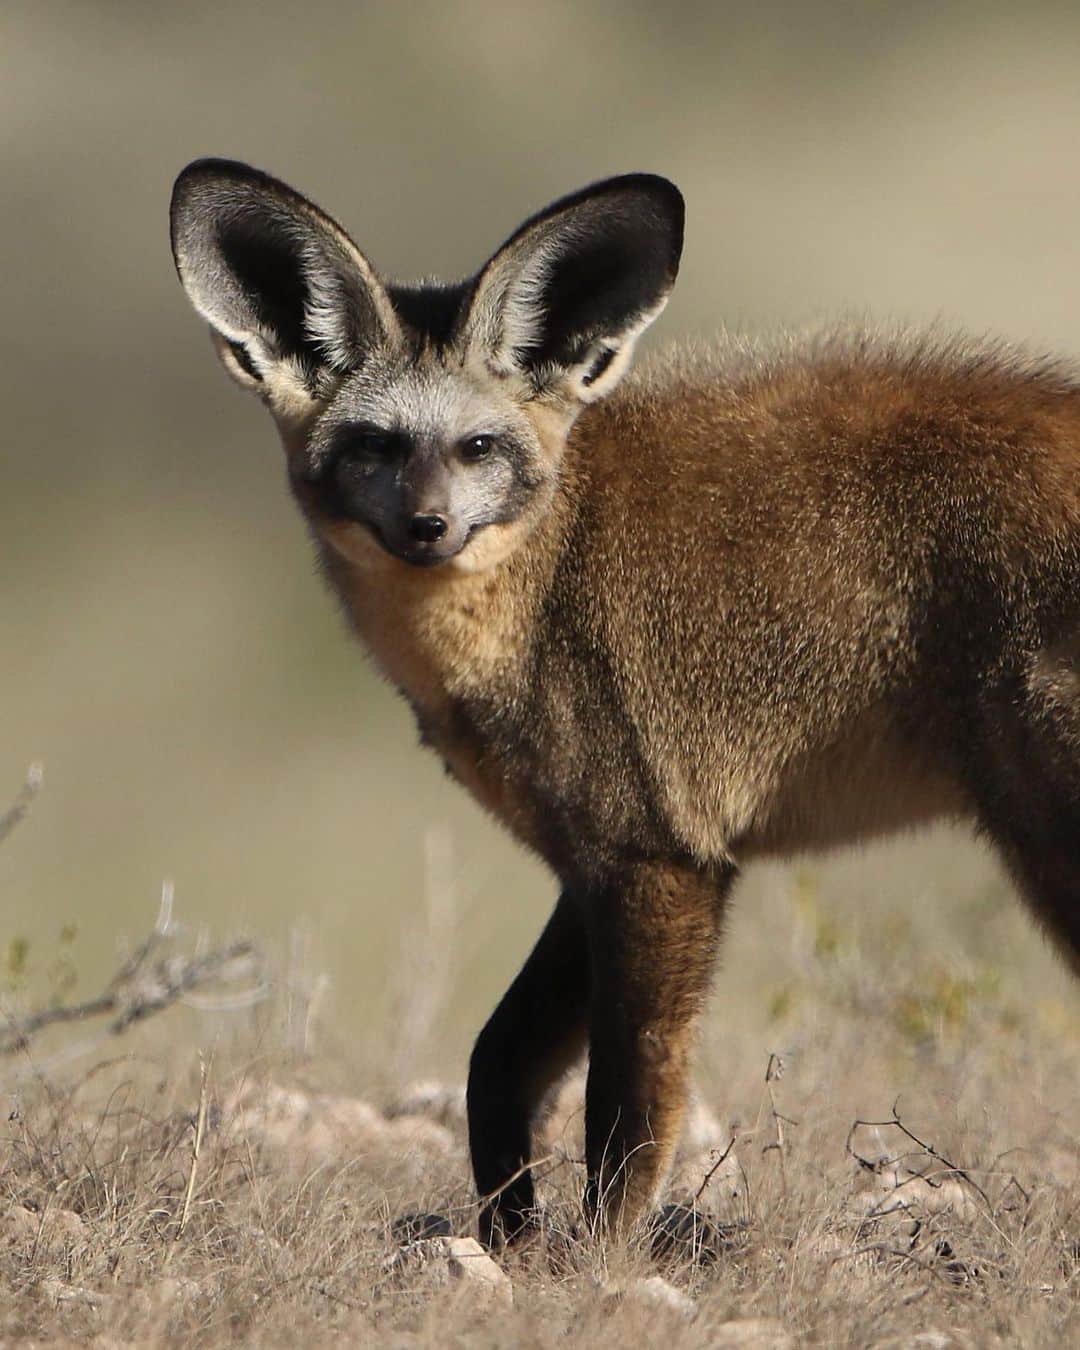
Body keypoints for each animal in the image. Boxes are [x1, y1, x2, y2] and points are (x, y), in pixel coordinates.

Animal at [170, 159, 1080, 1248]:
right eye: (373, 447)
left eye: (479, 447)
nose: (427, 528)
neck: (543, 588)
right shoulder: (592, 858)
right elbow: (496, 1064)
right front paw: (510, 1234)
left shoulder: (662, 861)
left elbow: (628, 1108)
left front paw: (597, 1263)